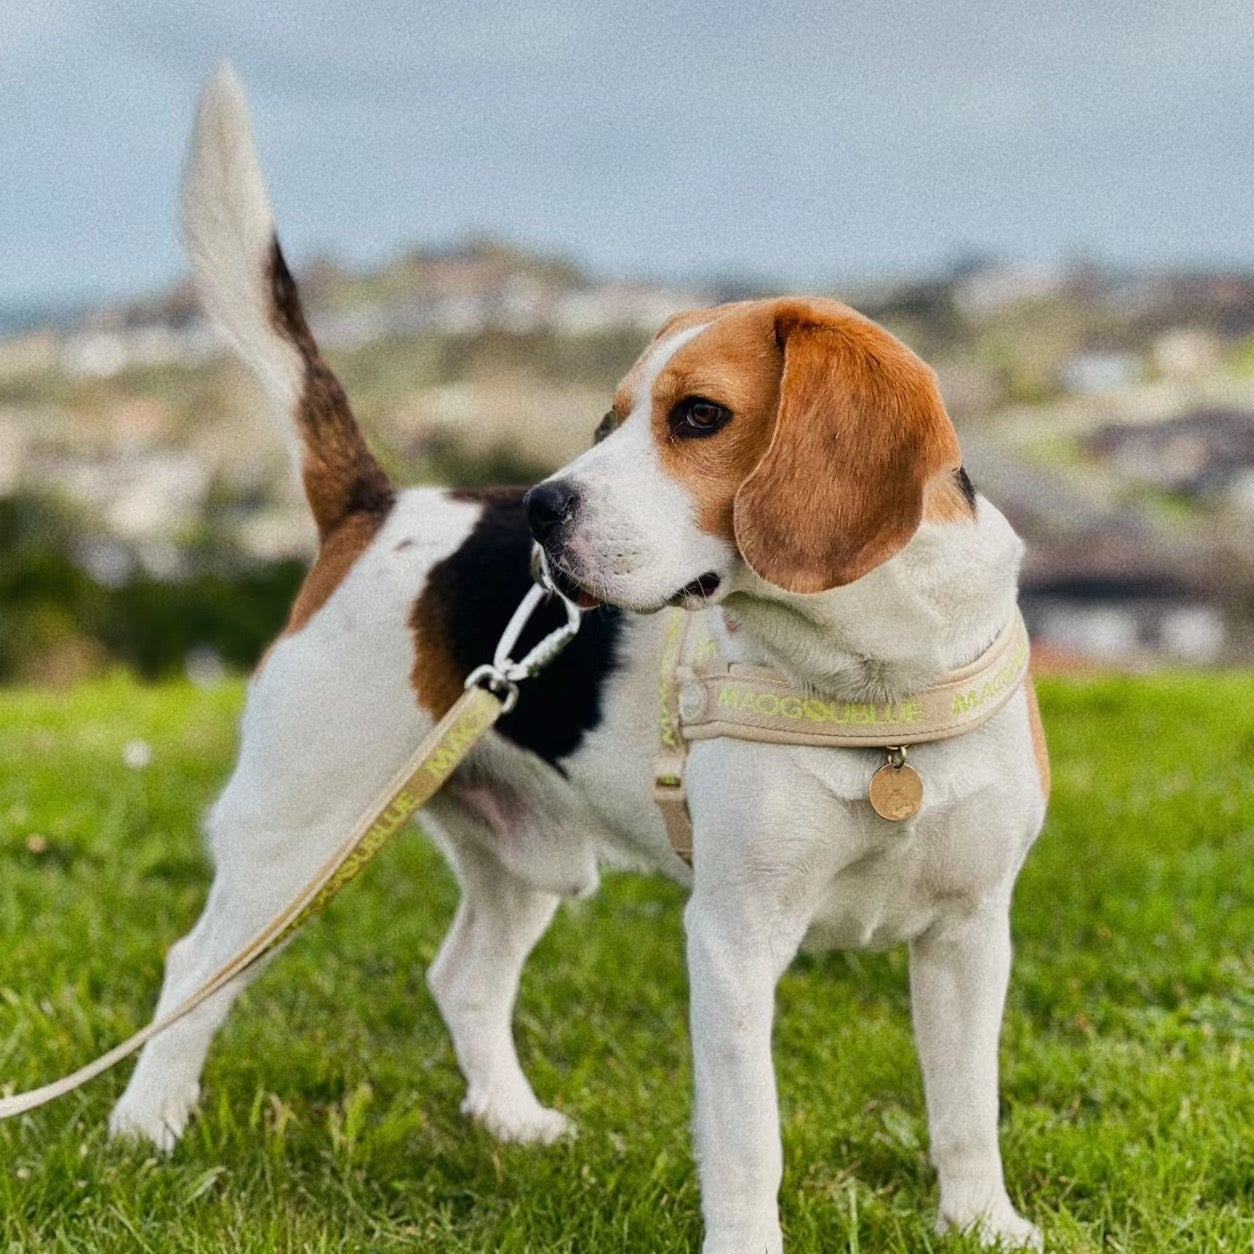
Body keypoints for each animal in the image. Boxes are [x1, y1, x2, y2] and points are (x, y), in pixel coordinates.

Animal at [107, 71, 1048, 1254]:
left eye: (699, 416)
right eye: (609, 423)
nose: (544, 511)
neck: (873, 687)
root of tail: (377, 505)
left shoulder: (972, 933)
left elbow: (967, 1106)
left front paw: (982, 1224)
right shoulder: (733, 939)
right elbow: (750, 1139)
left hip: (521, 857)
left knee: (461, 976)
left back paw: (511, 1123)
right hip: (297, 836)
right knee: (197, 969)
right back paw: (146, 1126)